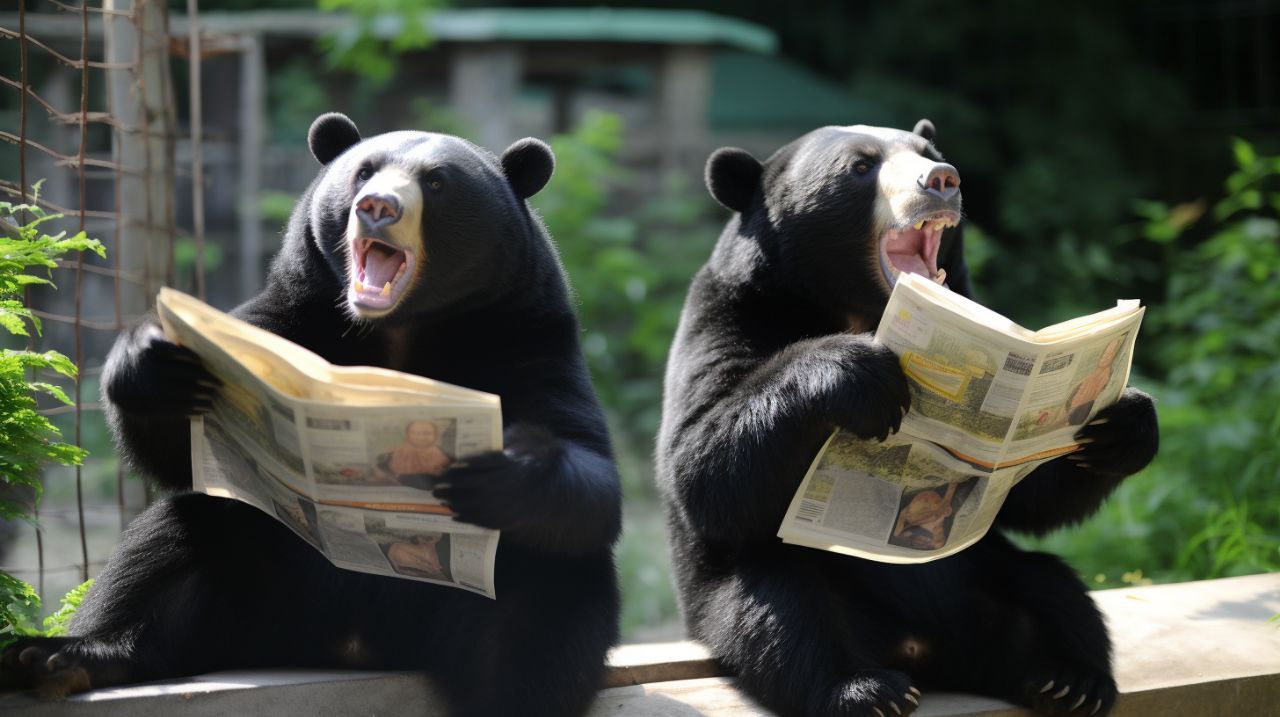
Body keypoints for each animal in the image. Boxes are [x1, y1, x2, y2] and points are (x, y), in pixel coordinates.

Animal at [0, 114, 619, 711]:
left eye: (436, 183)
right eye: (363, 172)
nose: (377, 207)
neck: (395, 328)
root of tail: (353, 646)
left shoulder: (525, 338)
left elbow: (590, 476)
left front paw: (493, 467)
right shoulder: (287, 324)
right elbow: (178, 453)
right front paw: (156, 361)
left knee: (538, 614)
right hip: (259, 586)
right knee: (175, 545)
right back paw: (66, 656)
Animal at [660, 122, 1162, 717]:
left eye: (928, 154)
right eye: (860, 167)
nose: (943, 181)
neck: (862, 309)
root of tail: (920, 648)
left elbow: (1030, 495)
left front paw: (1125, 422)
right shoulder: (734, 311)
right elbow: (704, 466)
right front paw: (856, 373)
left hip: (984, 572)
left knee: (1054, 591)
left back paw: (1069, 678)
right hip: (755, 591)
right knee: (779, 612)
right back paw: (863, 689)